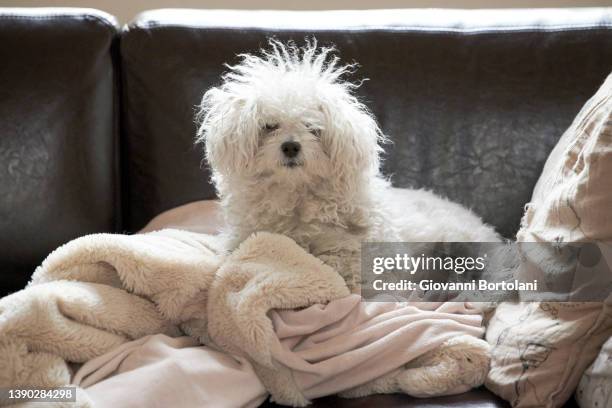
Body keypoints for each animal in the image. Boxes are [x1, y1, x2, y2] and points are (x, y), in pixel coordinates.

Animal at [196, 38, 498, 292]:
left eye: (313, 128)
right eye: (269, 126)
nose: (291, 146)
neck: (296, 196)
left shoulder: (353, 253)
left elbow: (339, 265)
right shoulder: (245, 235)